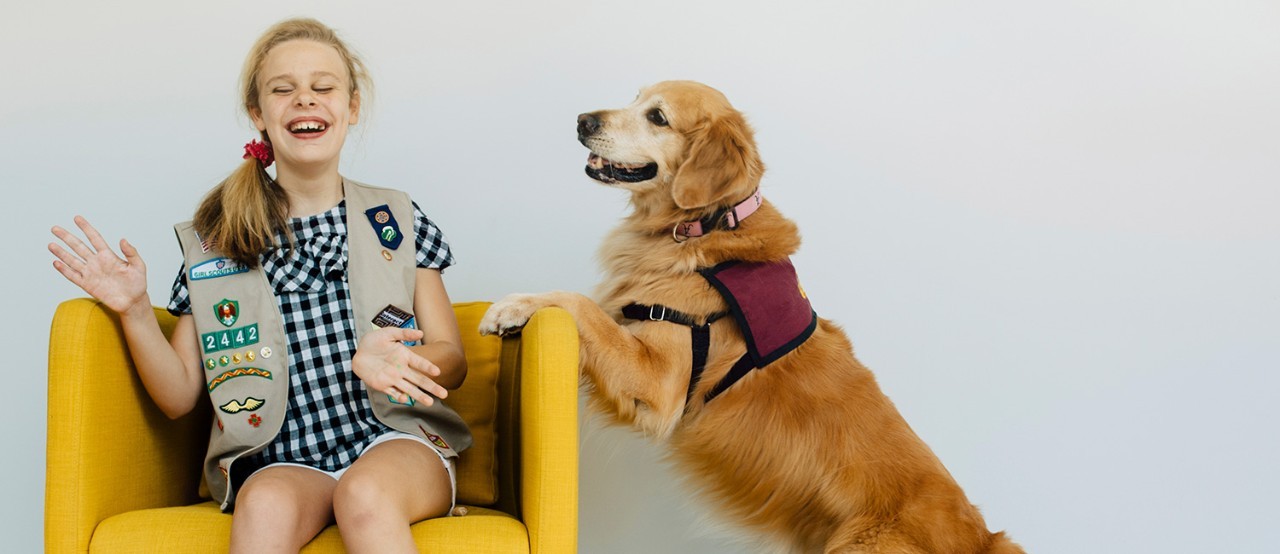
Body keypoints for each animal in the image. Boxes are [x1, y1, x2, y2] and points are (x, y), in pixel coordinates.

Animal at [478, 79, 1018, 550]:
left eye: (658, 116)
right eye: (634, 97)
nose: (582, 120)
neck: (703, 227)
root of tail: (985, 538)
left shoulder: (662, 387)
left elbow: (582, 304)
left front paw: (511, 305)